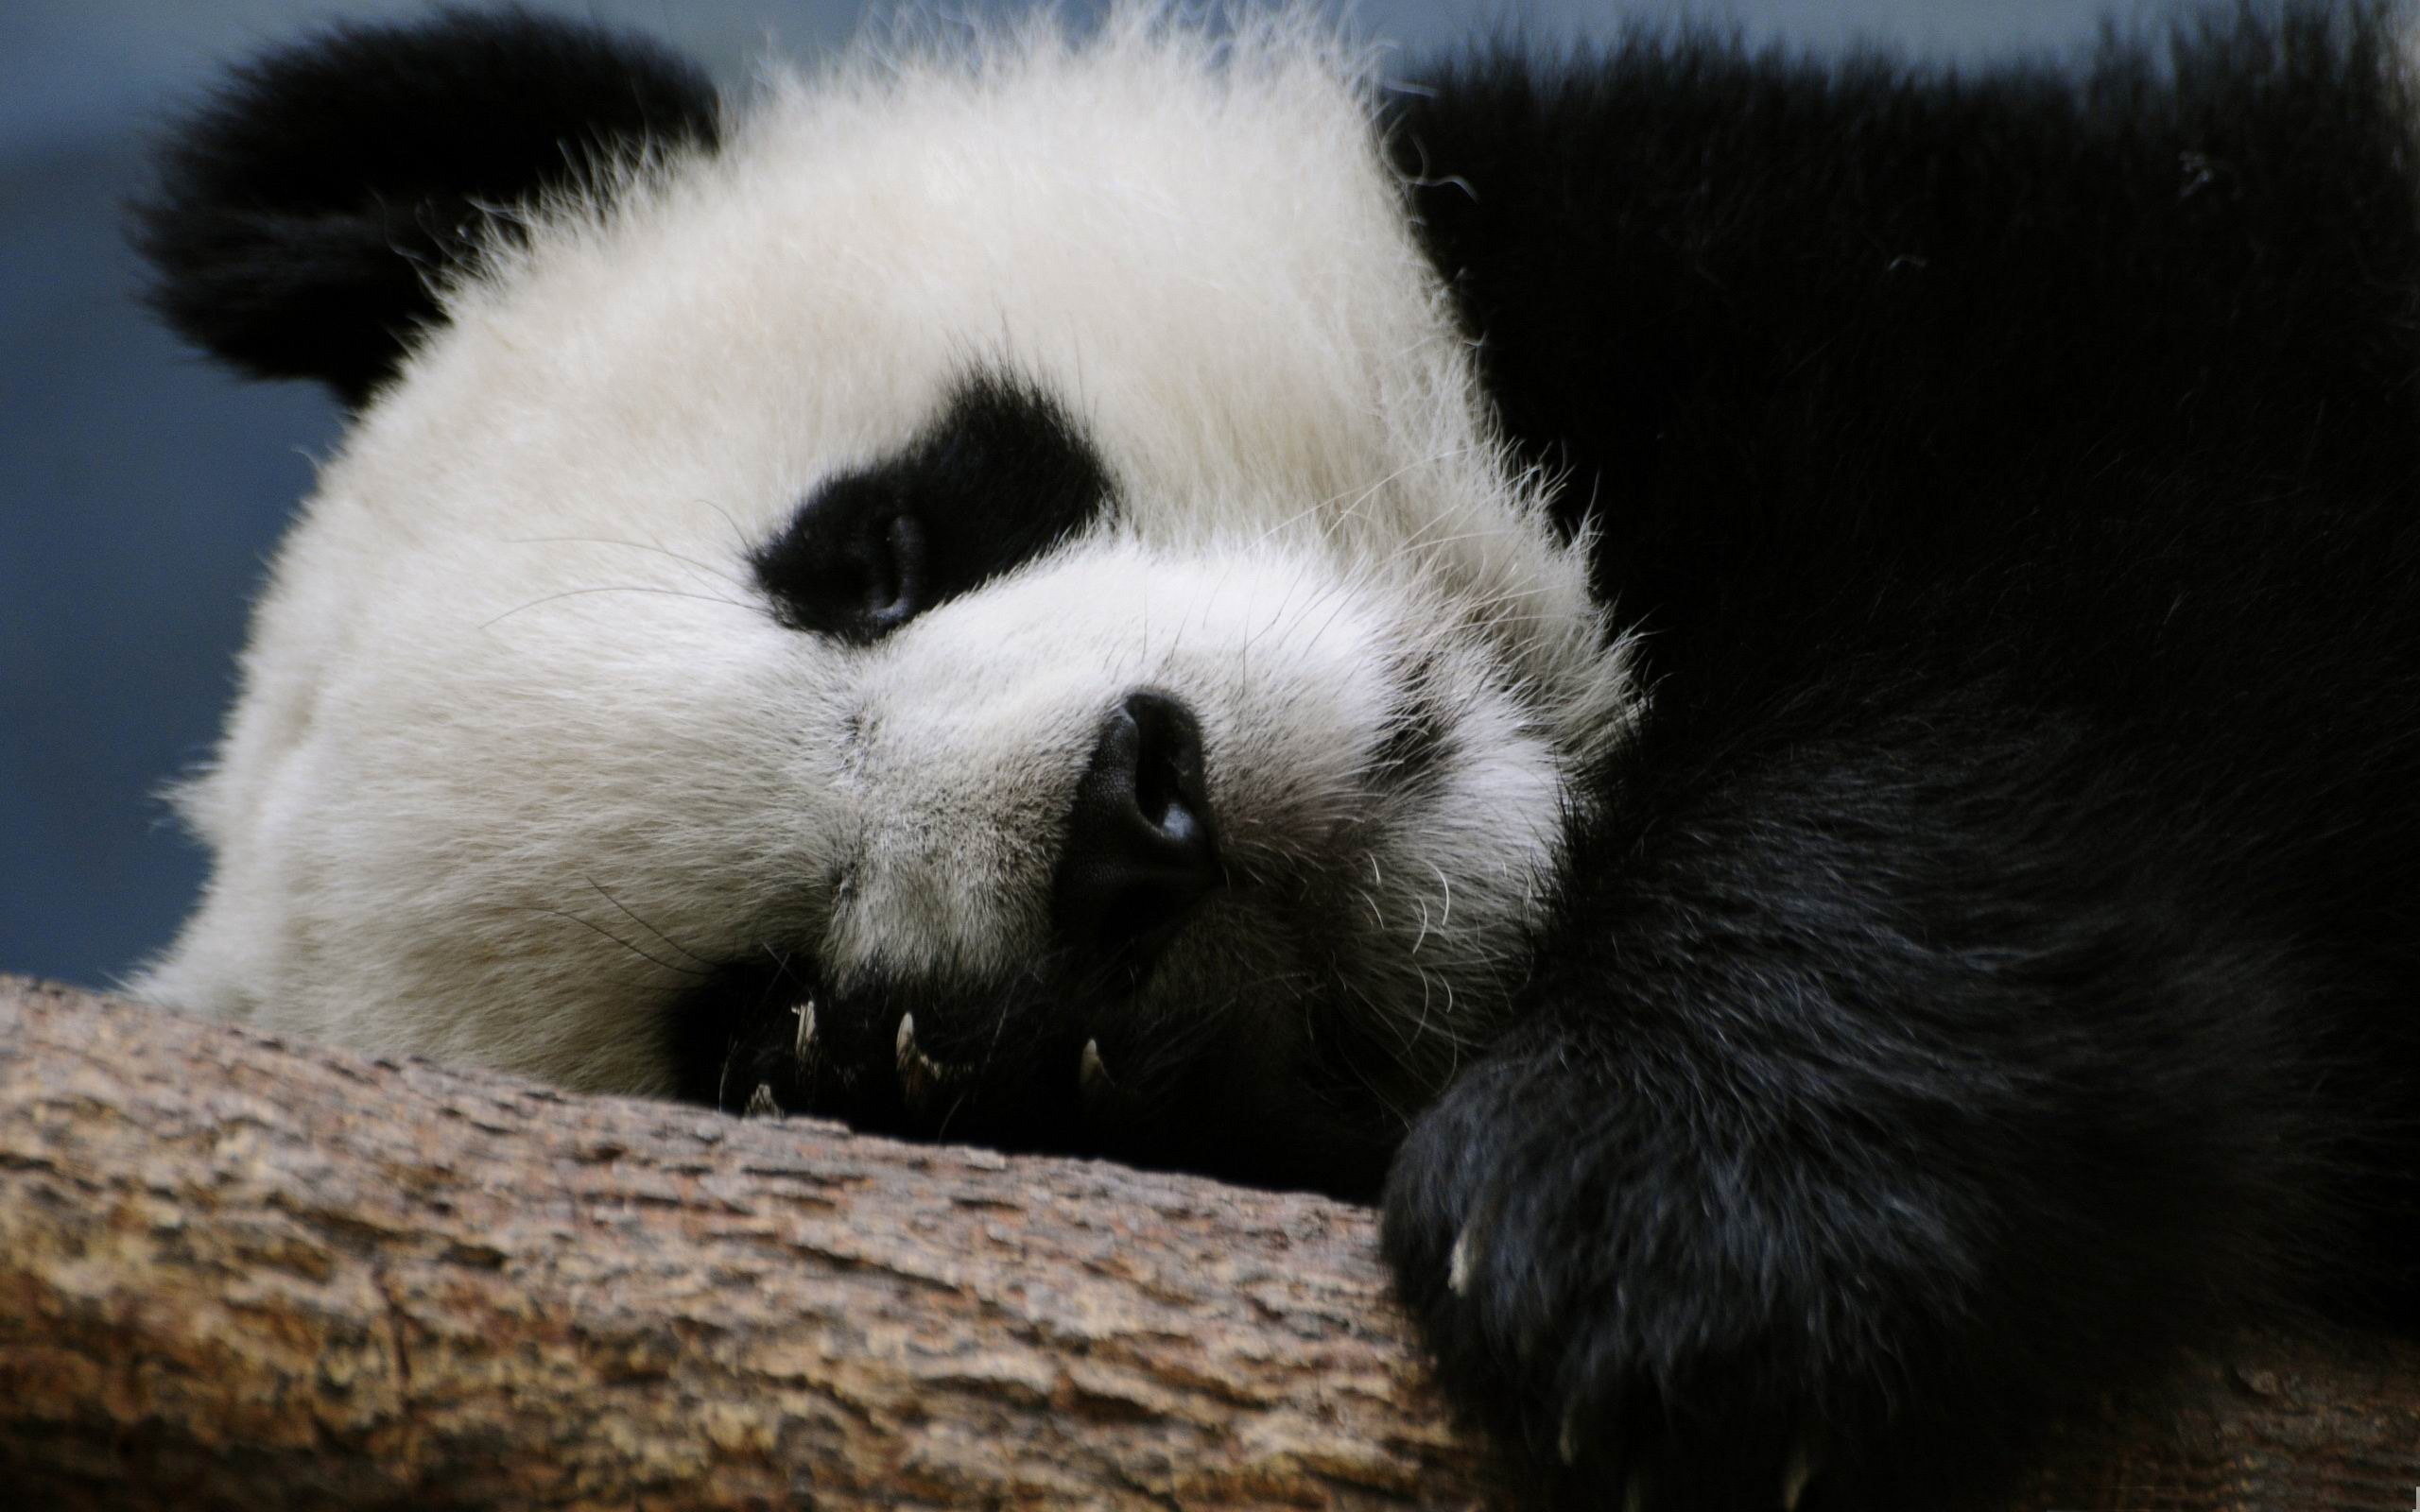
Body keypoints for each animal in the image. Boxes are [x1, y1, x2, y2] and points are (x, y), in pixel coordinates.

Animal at [128, 3, 2420, 1508]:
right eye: (774, 1018)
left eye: (875, 548)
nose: (1138, 816)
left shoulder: (1900, 263)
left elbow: (2090, 588)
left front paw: (1673, 1216)